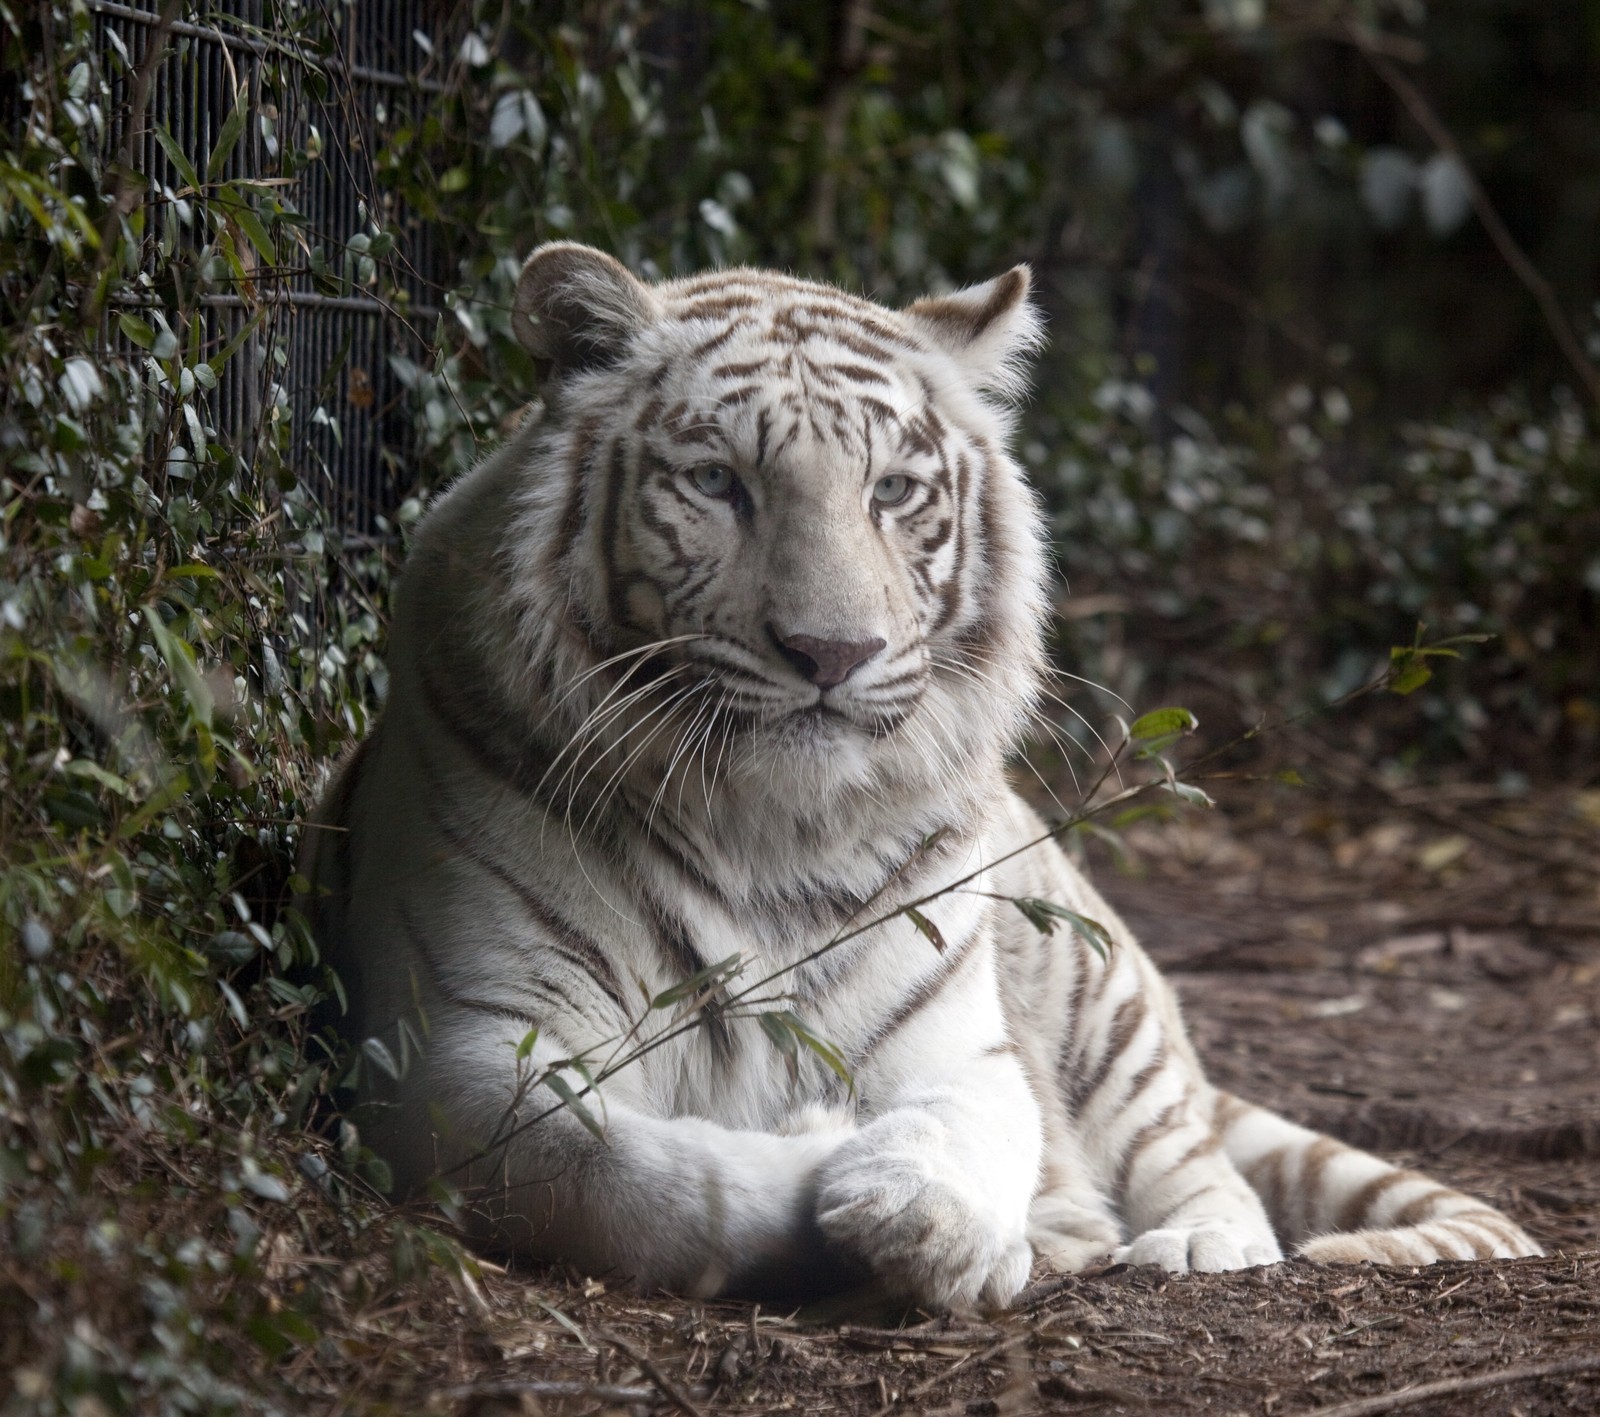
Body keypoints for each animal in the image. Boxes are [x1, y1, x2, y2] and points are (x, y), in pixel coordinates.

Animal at [300, 241, 1536, 1311]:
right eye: (716, 481)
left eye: (892, 490)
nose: (831, 652)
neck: (760, 825)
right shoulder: (461, 1051)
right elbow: (624, 1172)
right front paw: (821, 1155)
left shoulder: (959, 1045)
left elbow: (960, 1129)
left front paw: (931, 1220)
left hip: (1098, 993)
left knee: (1197, 1155)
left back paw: (1188, 1242)